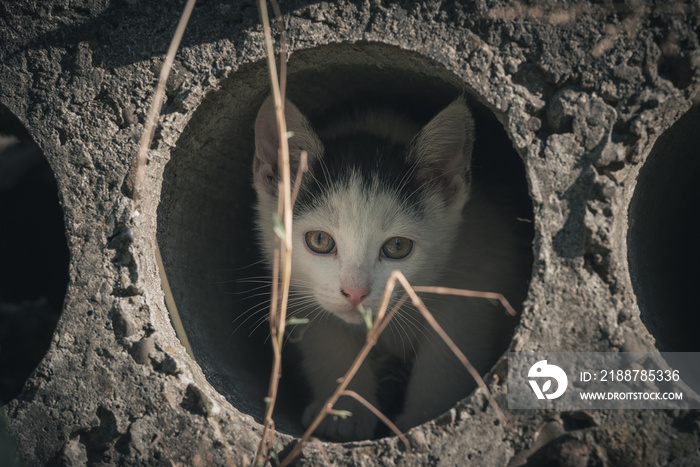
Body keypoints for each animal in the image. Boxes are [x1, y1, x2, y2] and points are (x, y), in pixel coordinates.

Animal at [252, 96, 532, 442]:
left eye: (398, 246)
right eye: (319, 240)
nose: (355, 293)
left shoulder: (479, 274)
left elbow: (448, 353)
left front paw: (425, 416)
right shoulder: (294, 284)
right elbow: (327, 339)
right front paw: (343, 411)